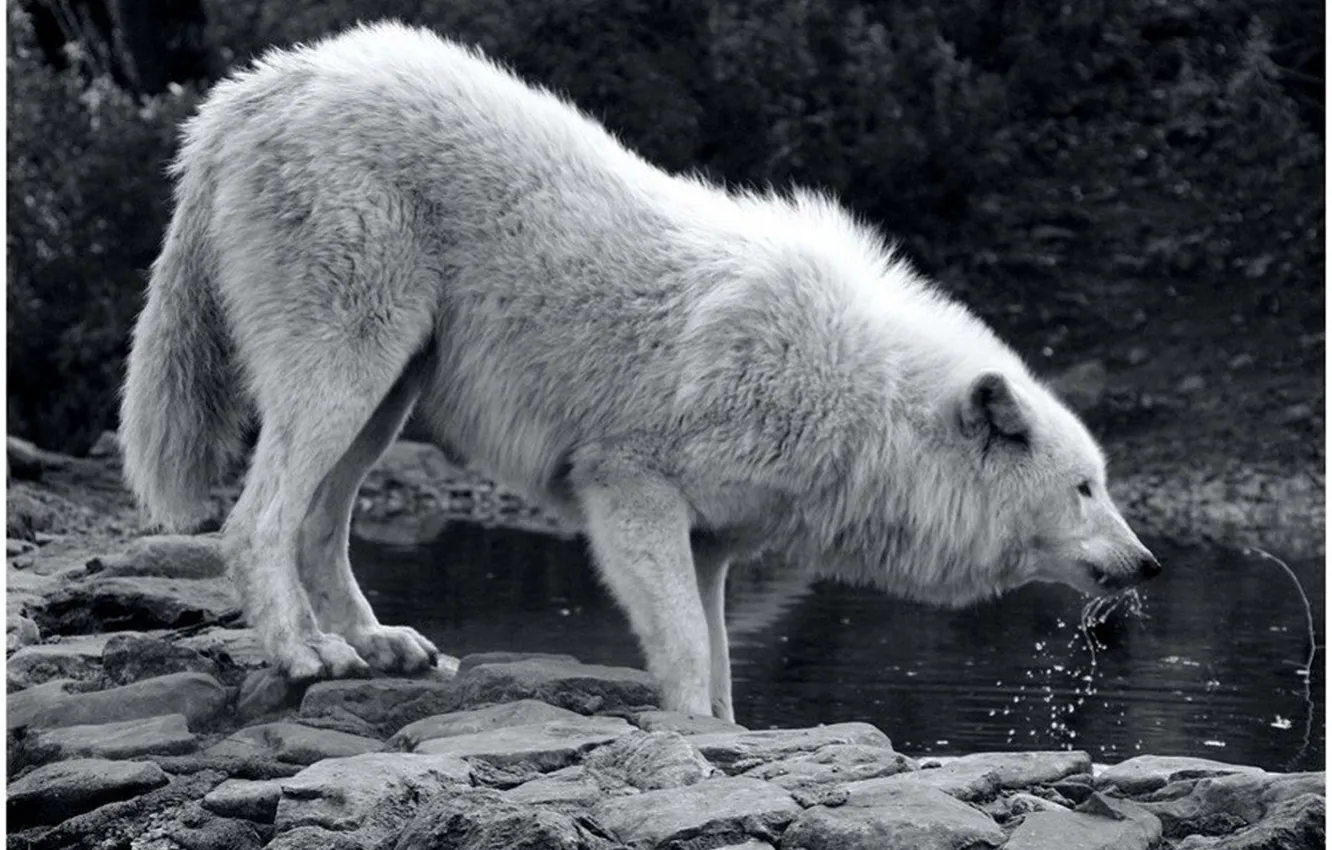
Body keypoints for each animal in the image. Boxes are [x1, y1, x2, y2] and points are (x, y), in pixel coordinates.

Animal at [119, 21, 1160, 722]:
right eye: (1084, 488)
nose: (1150, 563)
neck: (861, 401)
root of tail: (259, 83)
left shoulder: (712, 543)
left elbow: (719, 660)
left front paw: (730, 737)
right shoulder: (629, 490)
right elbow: (691, 653)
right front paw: (697, 736)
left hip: (387, 395)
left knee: (317, 526)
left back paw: (378, 645)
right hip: (348, 373)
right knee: (256, 522)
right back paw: (307, 656)